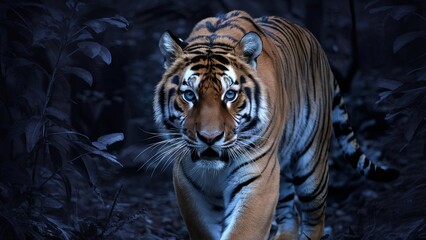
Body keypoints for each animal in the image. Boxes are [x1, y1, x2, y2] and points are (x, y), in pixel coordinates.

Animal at [153, 9, 400, 240]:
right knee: (291, 216)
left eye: (230, 94)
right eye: (189, 95)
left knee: (314, 218)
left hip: (311, 166)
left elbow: (243, 231)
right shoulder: (188, 182)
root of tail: (321, 52)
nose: (210, 138)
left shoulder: (258, 177)